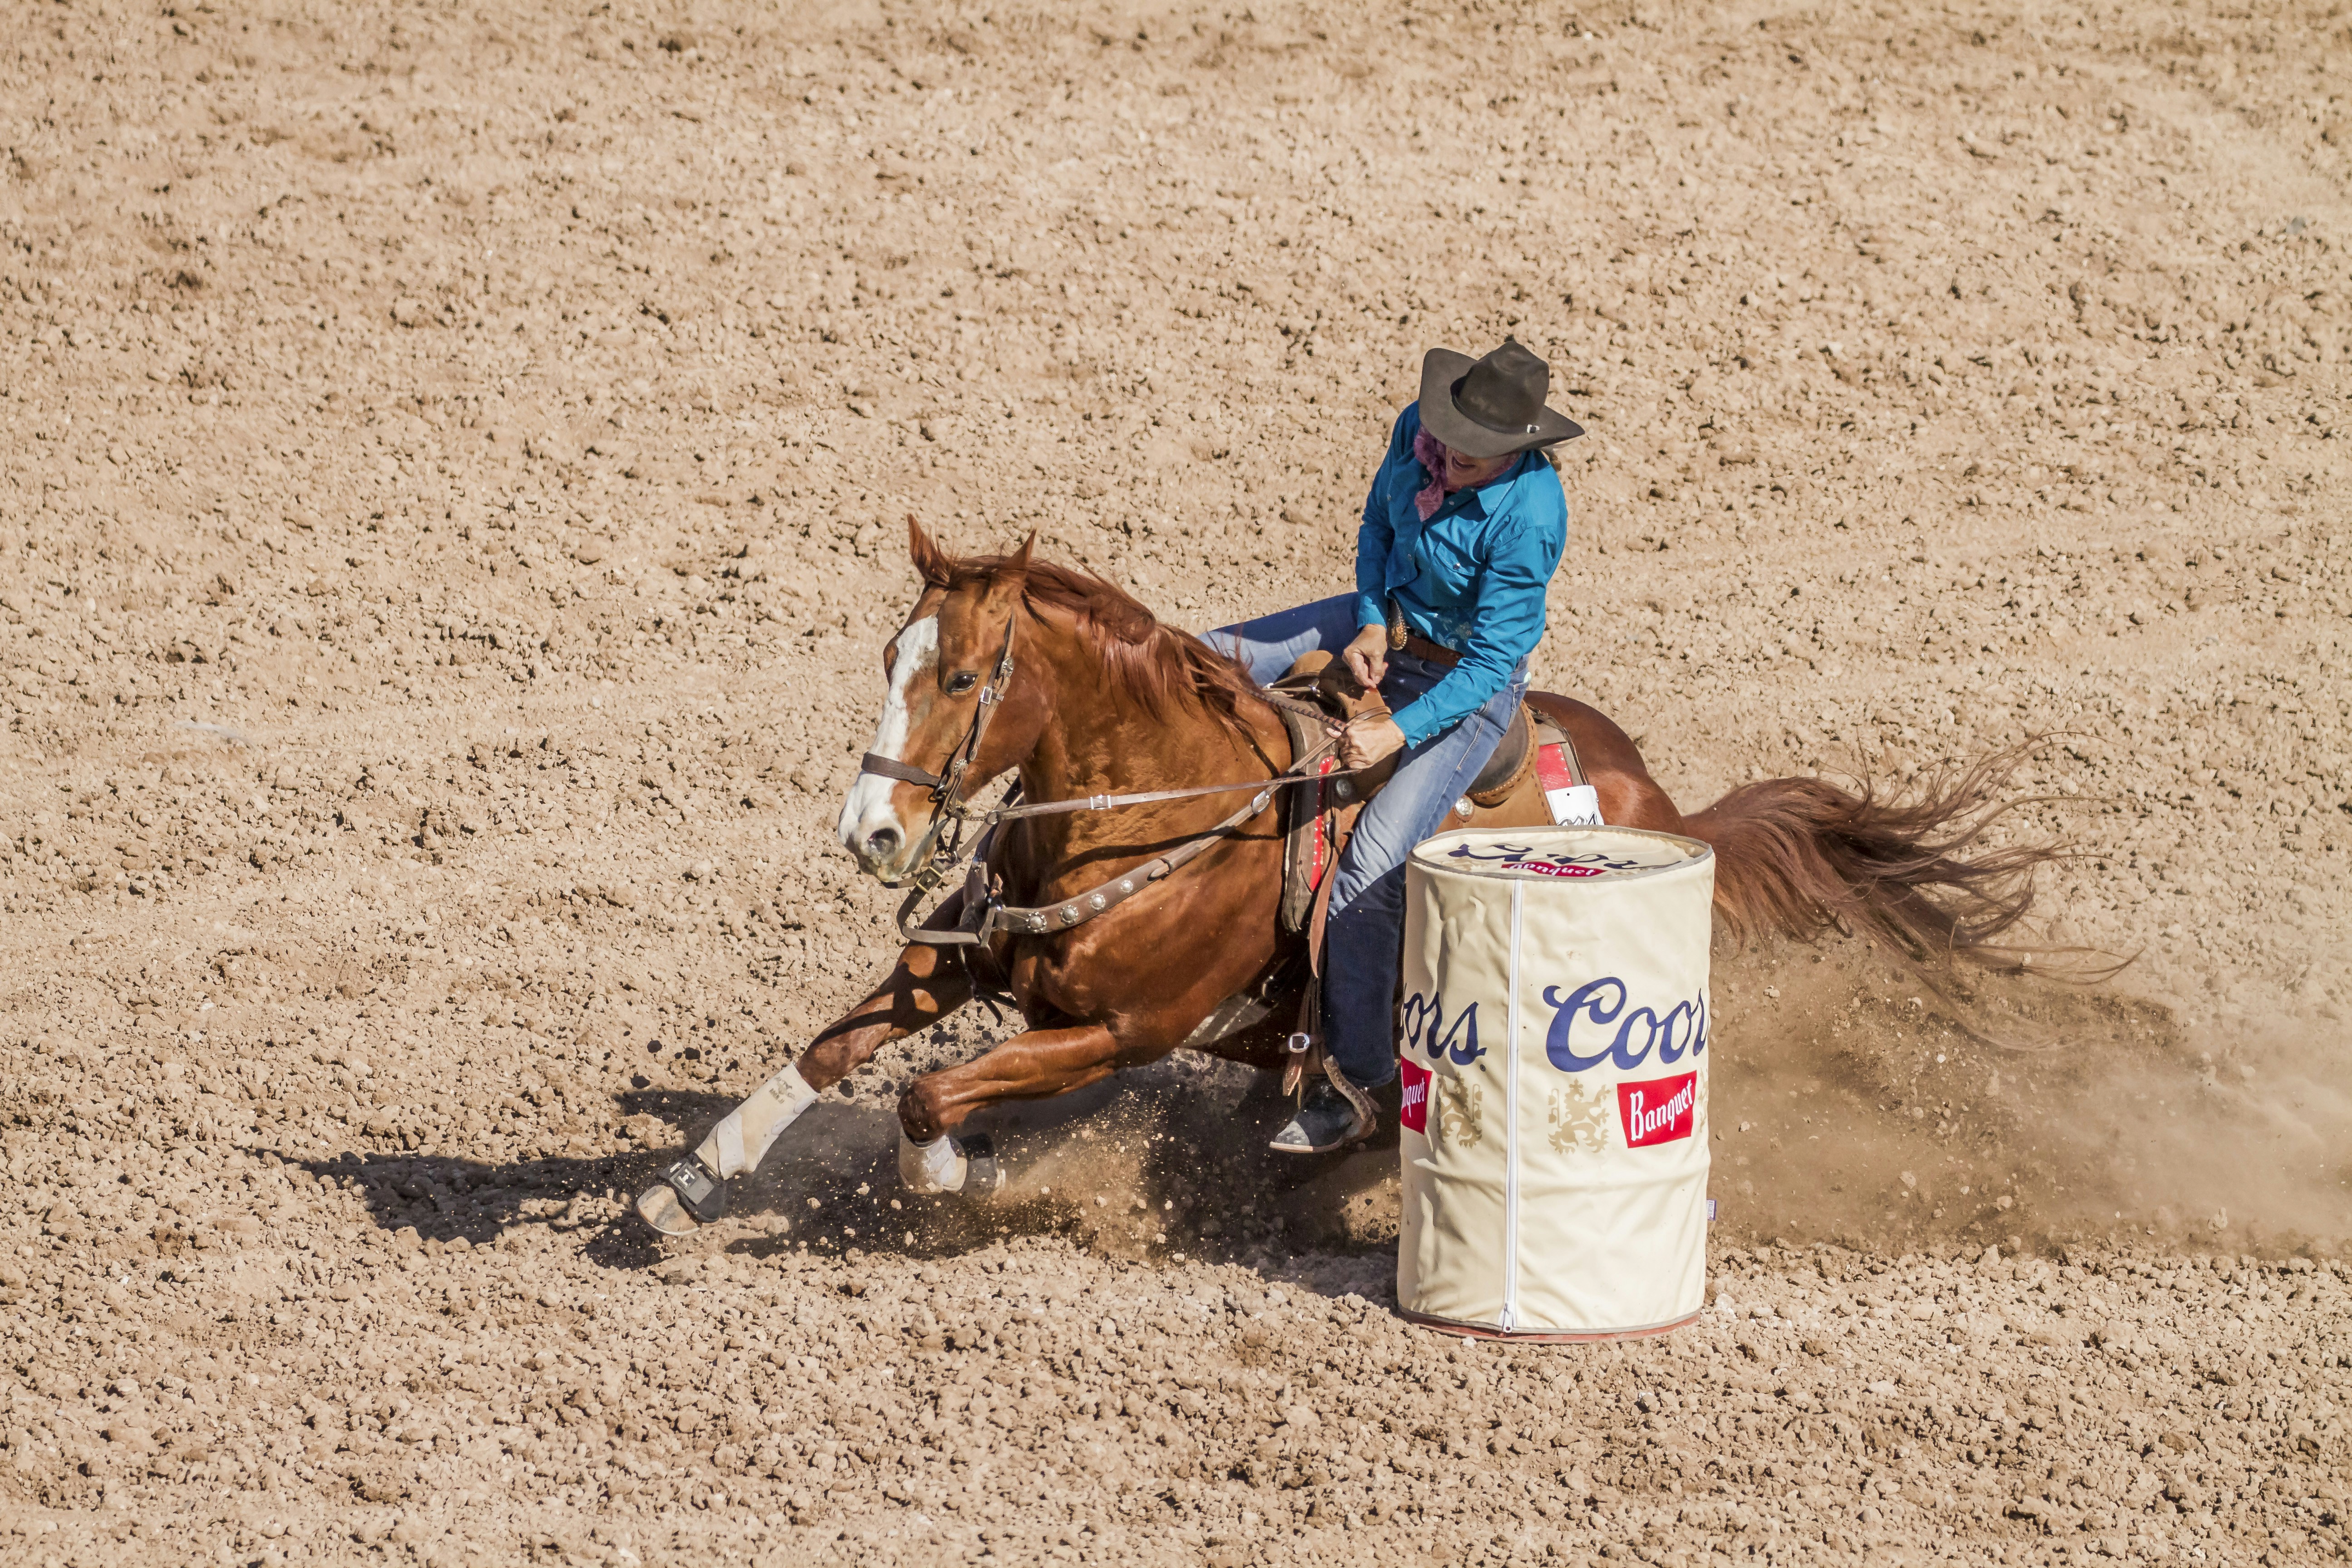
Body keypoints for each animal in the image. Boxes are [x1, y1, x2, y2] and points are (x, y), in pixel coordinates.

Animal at [633, 522, 2056, 1233]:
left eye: (968, 674)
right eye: (891, 652)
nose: (872, 832)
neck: (1149, 810)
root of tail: (1655, 797)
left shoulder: (1116, 1030)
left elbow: (927, 1096)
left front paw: (965, 1176)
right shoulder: (968, 957)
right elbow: (830, 1050)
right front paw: (688, 1179)